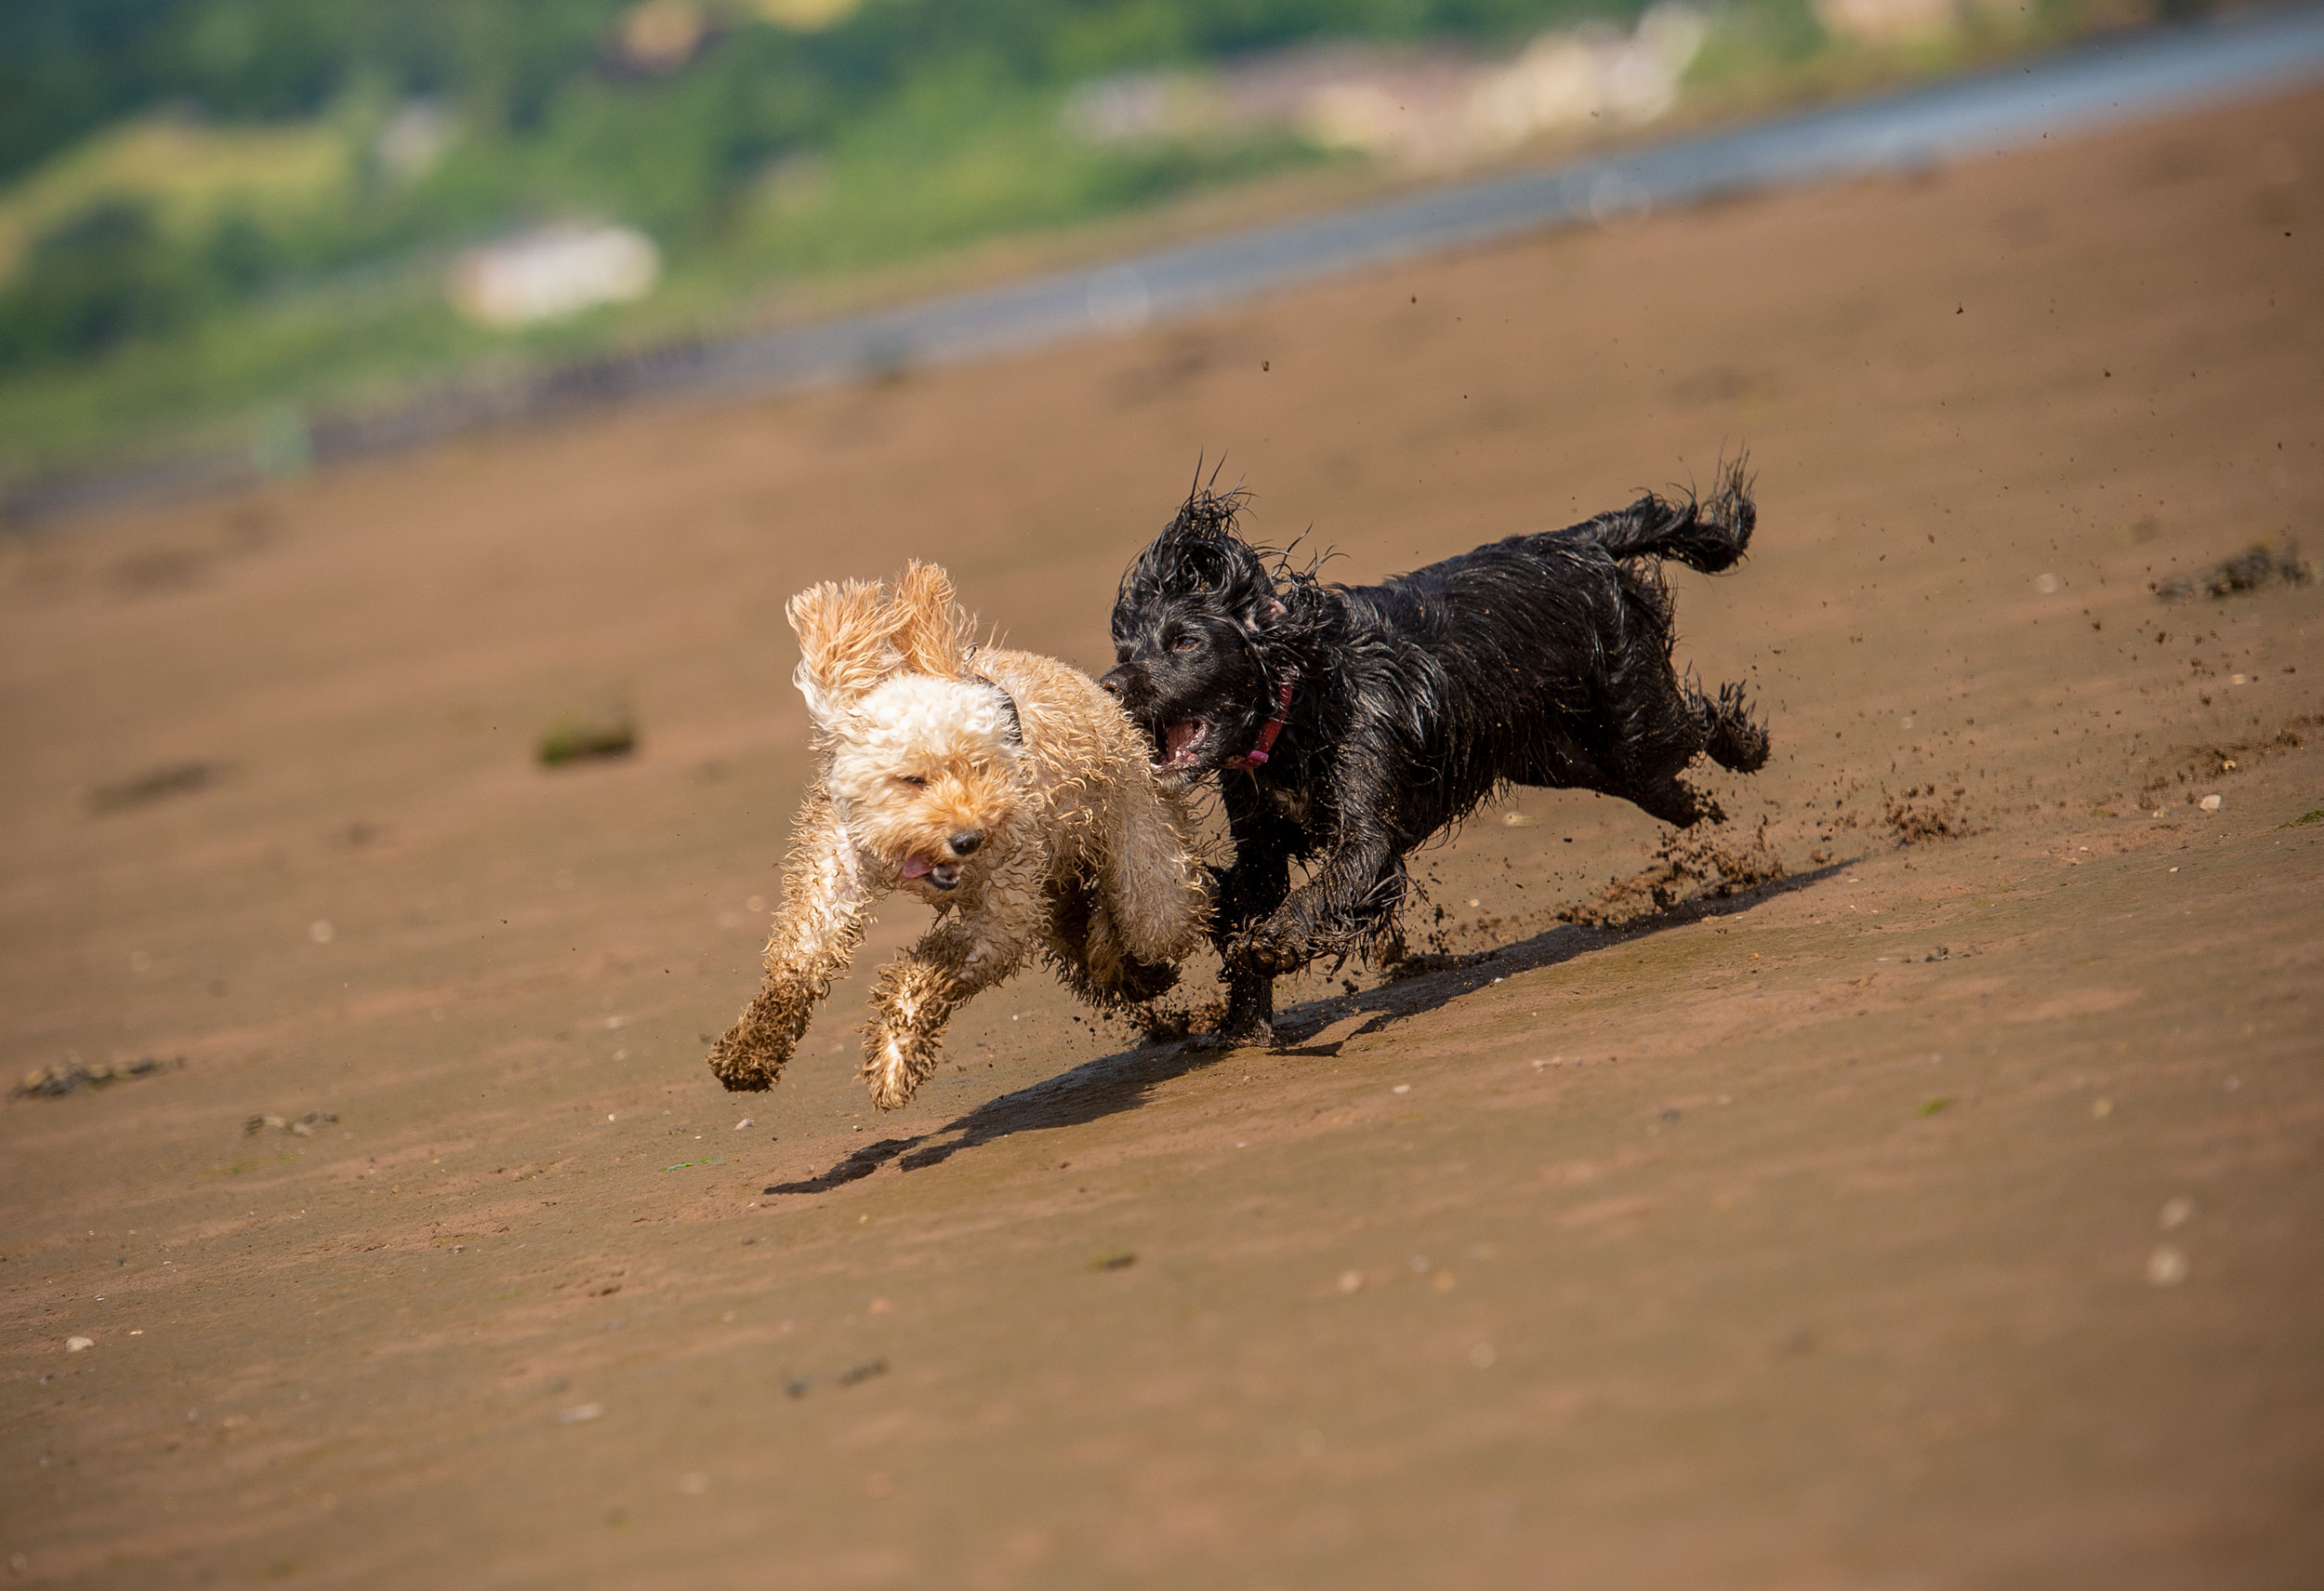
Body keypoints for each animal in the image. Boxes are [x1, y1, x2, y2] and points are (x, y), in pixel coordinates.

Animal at [706, 564, 1218, 1111]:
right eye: (913, 779)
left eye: (981, 767)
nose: (969, 839)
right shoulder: (838, 862)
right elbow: (803, 954)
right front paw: (752, 1050)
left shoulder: (1003, 908)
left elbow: (930, 971)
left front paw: (896, 1053)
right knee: (1078, 925)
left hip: (1149, 867)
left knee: (1148, 922)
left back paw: (1114, 945)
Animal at [1097, 462, 1766, 1041]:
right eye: (1126, 649)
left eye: (1185, 642)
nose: (1109, 685)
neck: (1300, 701)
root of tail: (1578, 544)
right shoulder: (1260, 843)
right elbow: (1248, 898)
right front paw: (1240, 1025)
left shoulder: (1369, 829)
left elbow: (1324, 889)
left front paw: (1275, 943)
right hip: (1567, 758)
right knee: (1659, 785)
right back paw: (1696, 814)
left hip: (1633, 724)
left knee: (1696, 723)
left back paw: (1746, 747)